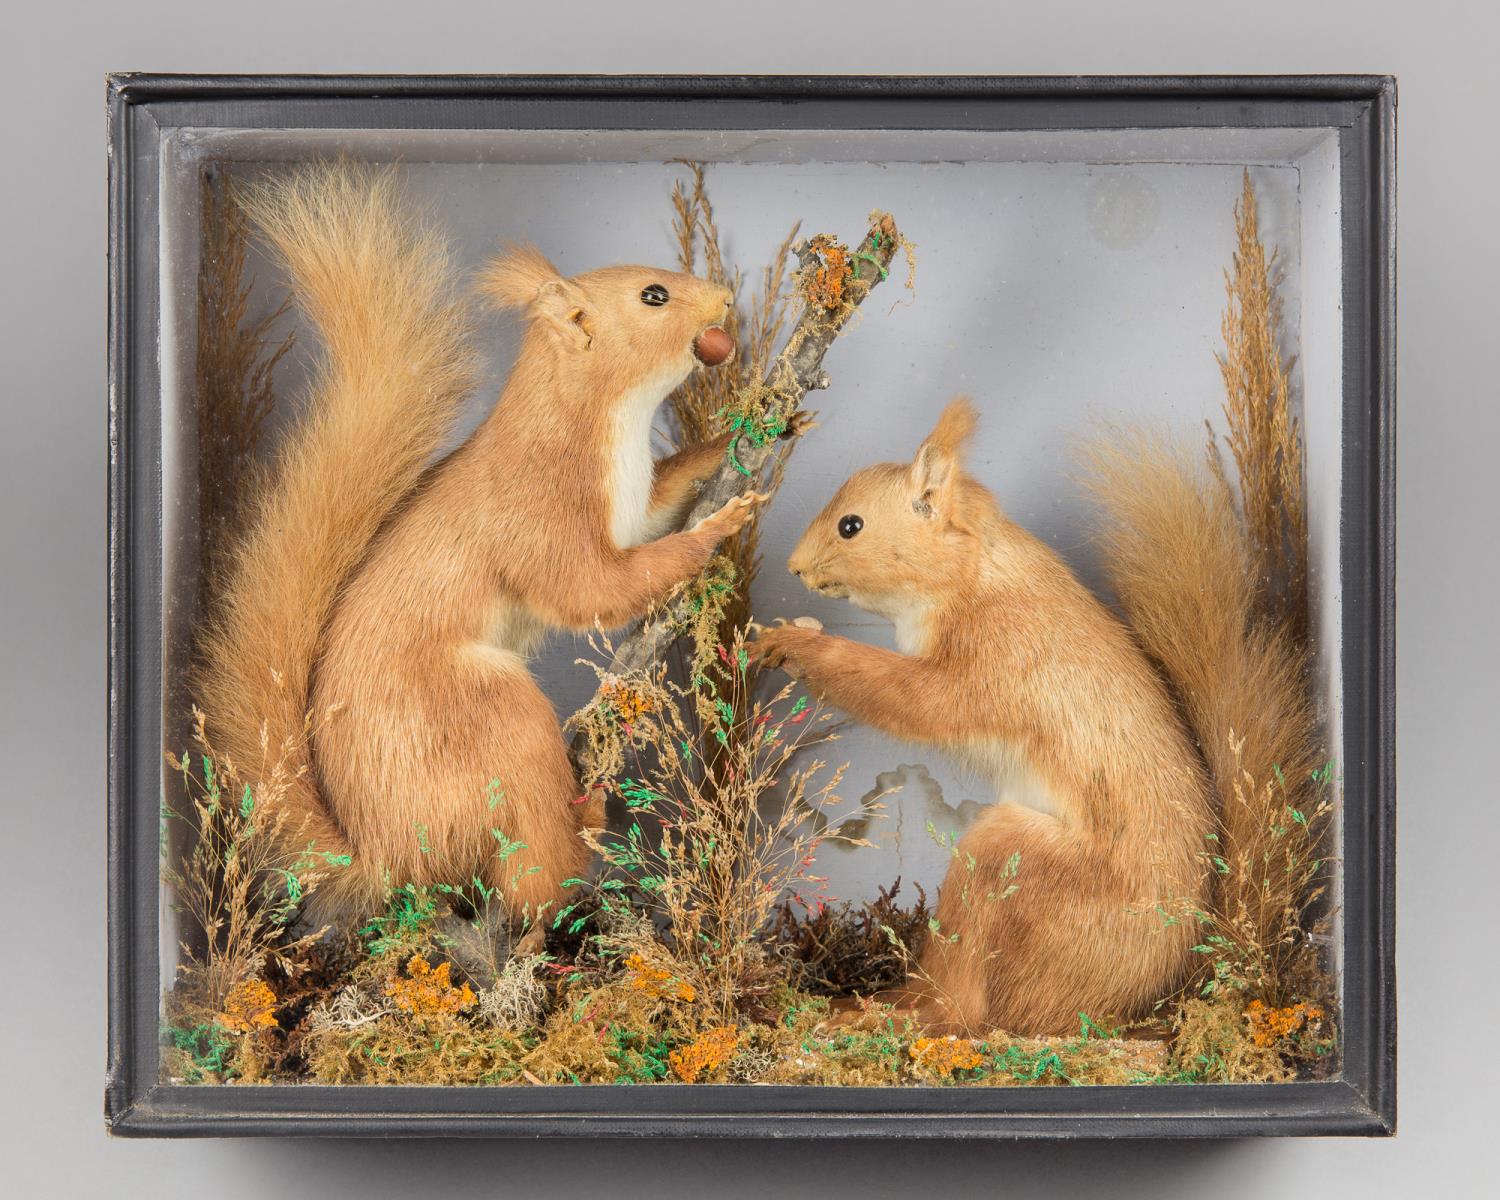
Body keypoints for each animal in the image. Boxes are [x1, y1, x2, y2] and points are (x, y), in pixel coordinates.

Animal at [196, 162, 762, 948]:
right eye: (654, 295)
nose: (726, 300)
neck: (603, 425)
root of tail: (386, 855)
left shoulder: (634, 507)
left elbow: (660, 508)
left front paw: (733, 441)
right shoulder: (538, 512)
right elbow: (596, 589)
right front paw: (717, 528)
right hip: (494, 722)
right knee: (532, 878)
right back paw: (581, 831)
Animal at [756, 402, 1224, 1032]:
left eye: (850, 525)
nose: (795, 567)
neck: (976, 570)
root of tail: (1127, 1005)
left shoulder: (996, 659)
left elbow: (913, 699)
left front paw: (800, 648)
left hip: (1005, 858)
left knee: (962, 1009)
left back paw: (876, 1012)